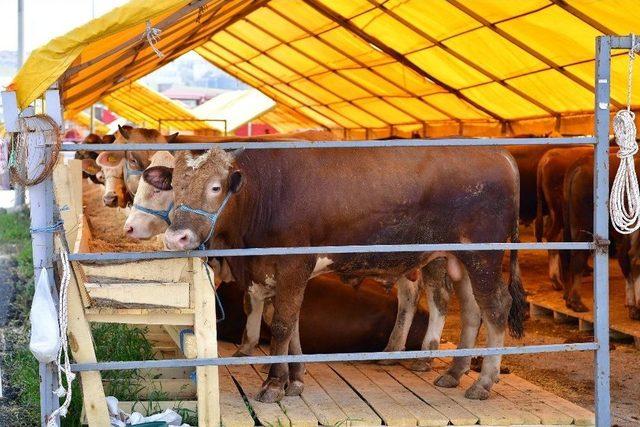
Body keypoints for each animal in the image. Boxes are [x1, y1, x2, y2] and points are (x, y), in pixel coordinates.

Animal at [162, 146, 524, 402]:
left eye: (215, 187)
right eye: (174, 188)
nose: (176, 237)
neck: (267, 192)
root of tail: (500, 154)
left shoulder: (292, 265)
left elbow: (281, 325)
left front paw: (275, 384)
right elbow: (291, 324)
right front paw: (295, 381)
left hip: (483, 256)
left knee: (495, 308)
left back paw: (482, 382)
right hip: (461, 262)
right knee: (472, 311)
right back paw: (455, 371)